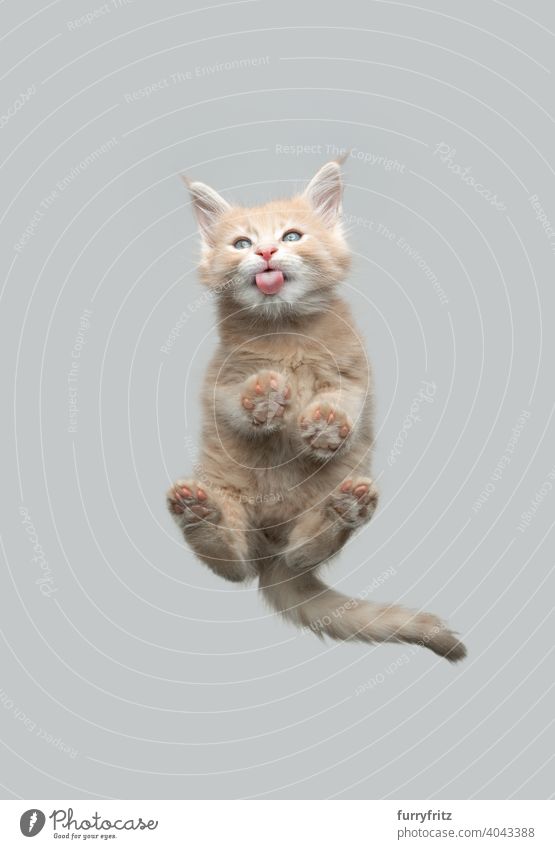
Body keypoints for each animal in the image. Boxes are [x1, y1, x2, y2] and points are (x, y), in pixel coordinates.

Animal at [167, 159, 466, 664]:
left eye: (291, 237)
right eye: (241, 244)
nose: (266, 251)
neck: (285, 328)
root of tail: (270, 550)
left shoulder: (354, 376)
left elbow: (344, 401)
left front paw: (324, 425)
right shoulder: (222, 379)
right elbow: (236, 401)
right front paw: (265, 398)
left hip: (336, 487)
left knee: (304, 551)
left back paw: (341, 511)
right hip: (227, 495)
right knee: (234, 565)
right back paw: (201, 514)